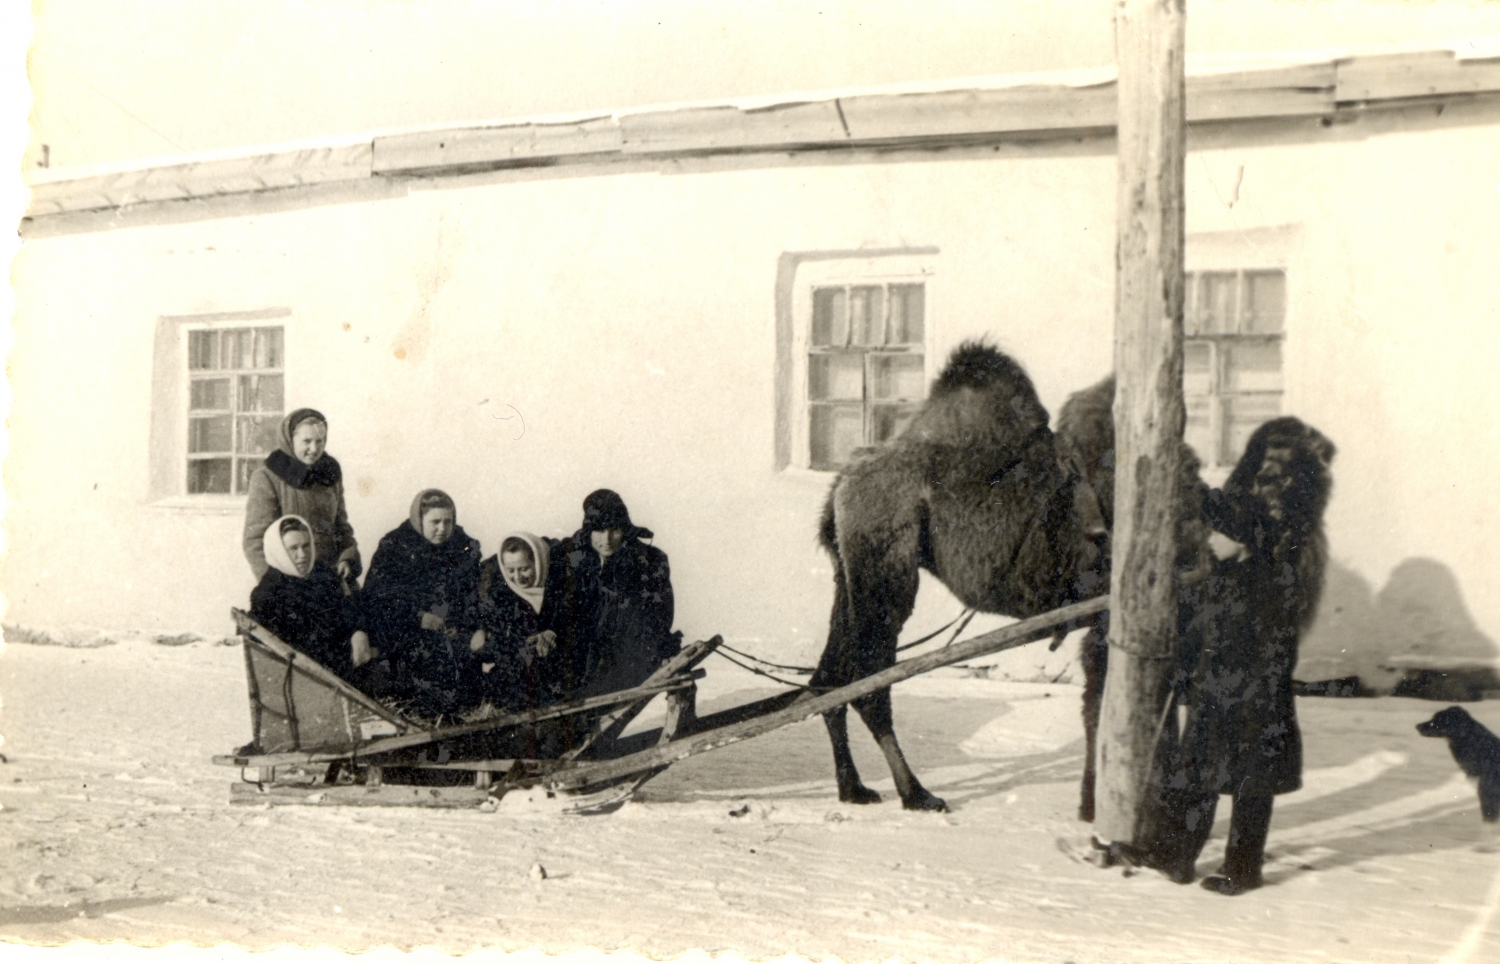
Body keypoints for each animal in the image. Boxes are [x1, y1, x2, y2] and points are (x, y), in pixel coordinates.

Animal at [816, 343, 1110, 809]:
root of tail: (842, 483)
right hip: (884, 565)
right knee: (869, 684)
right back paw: (916, 793)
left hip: (849, 575)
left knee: (828, 681)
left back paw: (854, 787)